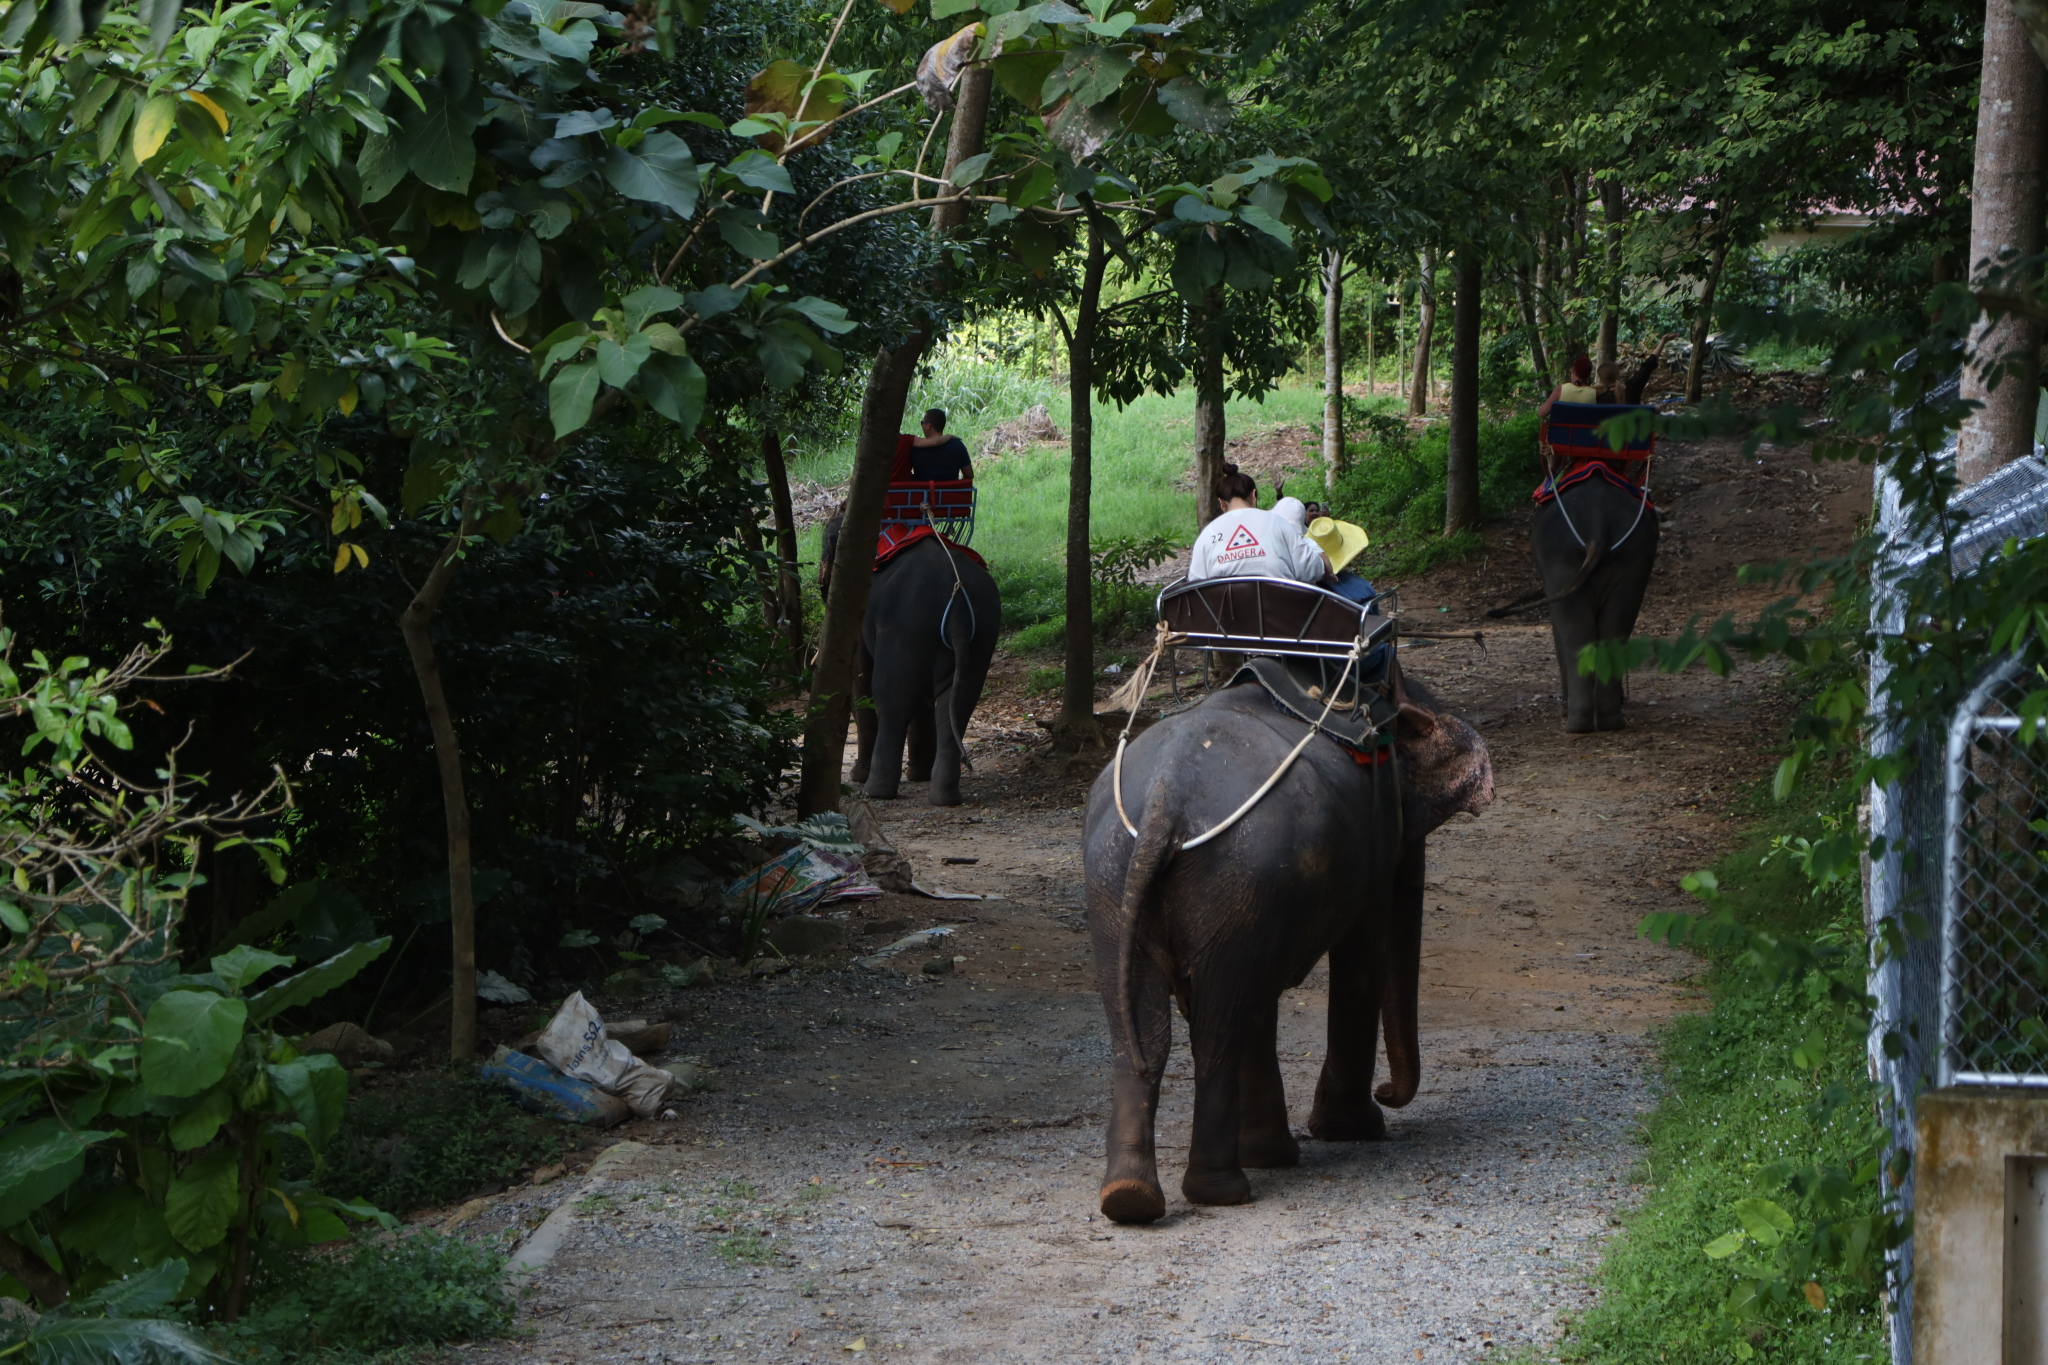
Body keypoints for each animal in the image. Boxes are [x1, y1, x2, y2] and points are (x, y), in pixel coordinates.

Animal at [823, 517, 999, 806]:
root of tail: (957, 602)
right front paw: (918, 775)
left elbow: (862, 680)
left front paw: (858, 775)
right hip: (980, 635)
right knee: (957, 703)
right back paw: (943, 796)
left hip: (905, 630)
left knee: (893, 700)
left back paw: (875, 791)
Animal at [1081, 679, 1499, 1219]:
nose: (1387, 1092)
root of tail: (1162, 803)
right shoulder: (1372, 840)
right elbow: (1362, 955)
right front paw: (1351, 1131)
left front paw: (1279, 1151)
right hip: (1229, 874)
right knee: (1217, 1029)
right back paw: (1220, 1193)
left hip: (1124, 882)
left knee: (1148, 1032)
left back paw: (1131, 1198)